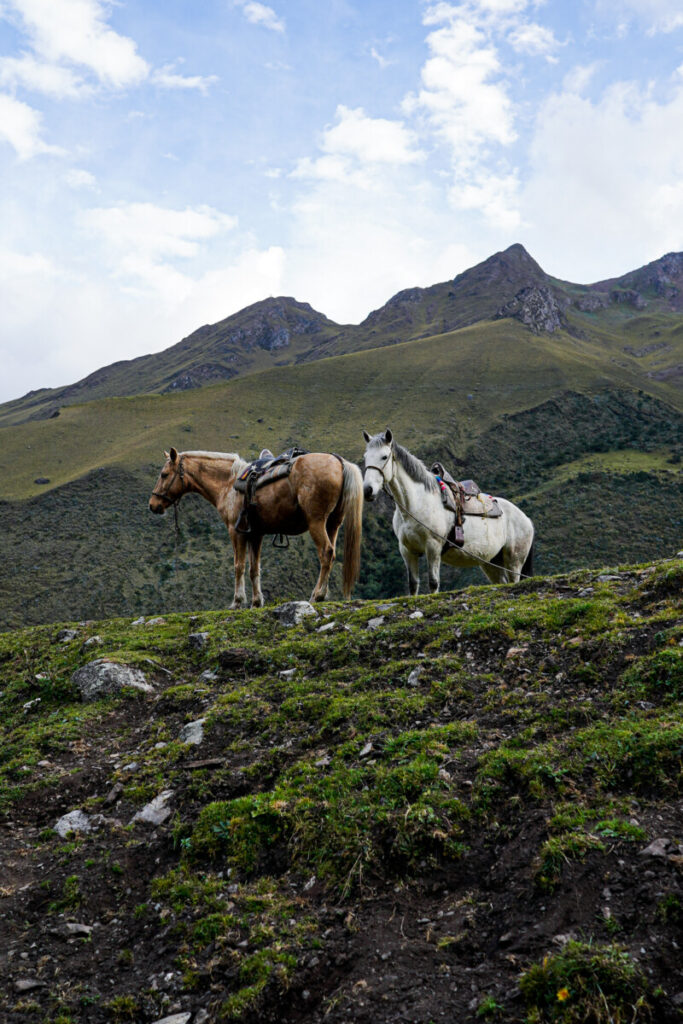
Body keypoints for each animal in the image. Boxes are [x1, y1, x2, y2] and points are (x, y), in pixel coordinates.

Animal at [149, 450, 362, 606]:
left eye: (164, 474)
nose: (153, 505)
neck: (228, 483)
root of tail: (339, 462)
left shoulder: (236, 532)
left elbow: (239, 566)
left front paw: (237, 601)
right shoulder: (255, 534)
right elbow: (254, 569)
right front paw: (256, 602)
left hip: (316, 522)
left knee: (326, 553)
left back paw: (316, 595)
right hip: (333, 524)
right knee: (332, 554)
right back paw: (322, 594)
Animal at [362, 430, 532, 593]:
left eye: (384, 456)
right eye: (365, 457)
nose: (368, 490)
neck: (416, 503)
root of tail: (526, 519)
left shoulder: (433, 547)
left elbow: (433, 583)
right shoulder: (407, 550)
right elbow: (413, 585)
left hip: (514, 561)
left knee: (514, 579)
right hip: (490, 562)